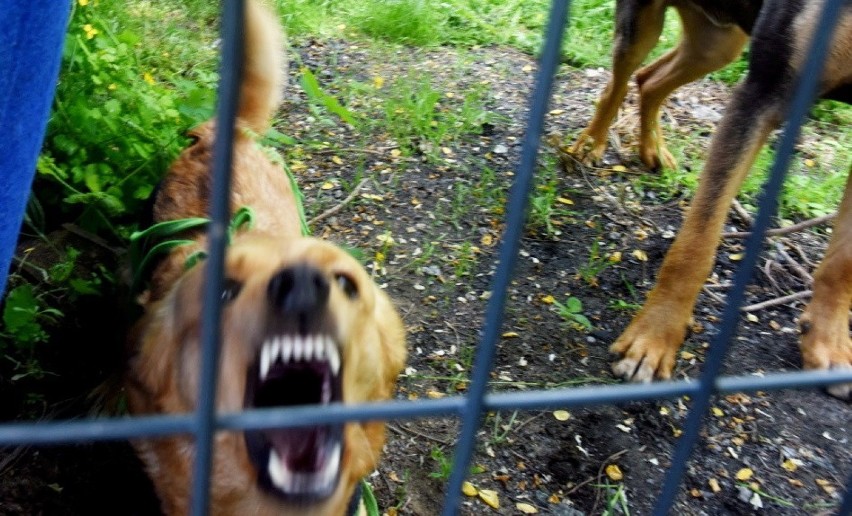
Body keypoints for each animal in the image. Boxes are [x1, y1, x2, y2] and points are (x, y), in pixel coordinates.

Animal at [600, 0, 852, 400]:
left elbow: (844, 262)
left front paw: (829, 344)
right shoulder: (764, 93)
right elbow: (697, 243)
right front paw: (652, 341)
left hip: (717, 44)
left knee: (650, 79)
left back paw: (652, 149)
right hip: (642, 29)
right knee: (620, 80)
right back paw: (587, 146)